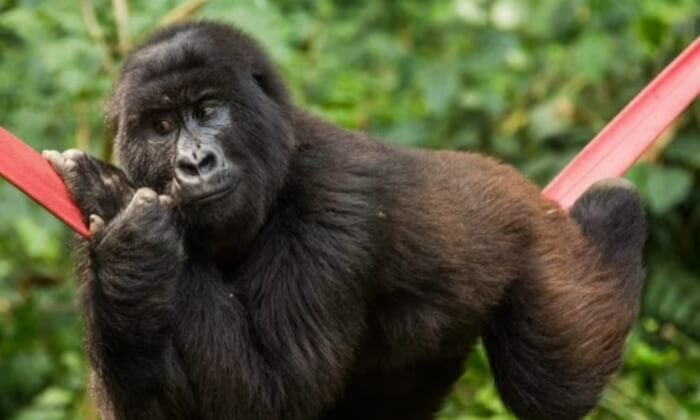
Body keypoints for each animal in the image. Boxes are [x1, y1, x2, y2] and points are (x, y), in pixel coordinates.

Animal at [42, 20, 644, 420]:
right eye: (162, 125)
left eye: (208, 110)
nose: (194, 162)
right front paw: (131, 247)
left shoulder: (336, 206)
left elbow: (272, 393)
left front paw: (119, 207)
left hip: (544, 247)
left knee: (552, 388)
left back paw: (613, 217)